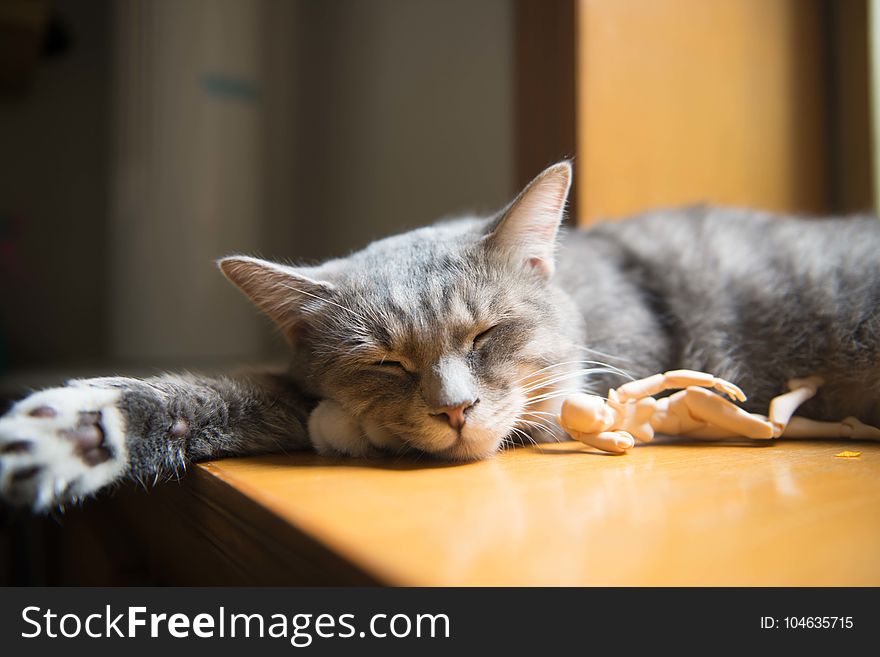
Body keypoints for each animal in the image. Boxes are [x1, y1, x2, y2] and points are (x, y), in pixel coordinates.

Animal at [1, 161, 880, 510]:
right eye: (384, 361)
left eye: (488, 331)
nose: (455, 409)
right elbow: (225, 393)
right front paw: (75, 429)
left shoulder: (604, 384)